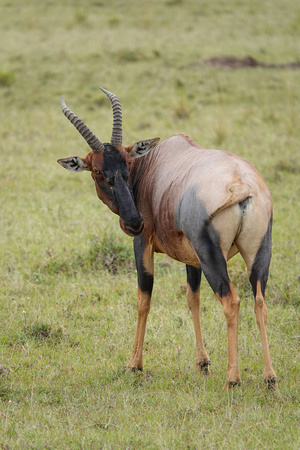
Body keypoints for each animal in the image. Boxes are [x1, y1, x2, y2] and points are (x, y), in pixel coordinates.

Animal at [58, 88, 276, 390]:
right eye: (99, 170)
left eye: (127, 164)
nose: (134, 222)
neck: (154, 163)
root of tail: (241, 184)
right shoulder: (191, 258)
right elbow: (192, 298)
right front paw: (202, 363)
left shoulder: (143, 245)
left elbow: (143, 299)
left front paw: (134, 365)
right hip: (259, 253)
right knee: (259, 301)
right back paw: (270, 377)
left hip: (212, 256)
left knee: (231, 301)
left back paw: (233, 380)